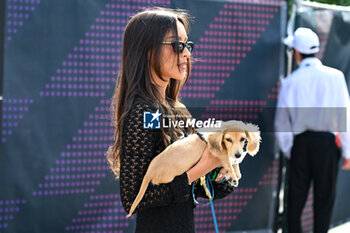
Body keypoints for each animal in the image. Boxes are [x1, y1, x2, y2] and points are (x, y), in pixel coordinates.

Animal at [128, 120, 260, 217]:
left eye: (243, 139)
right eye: (228, 139)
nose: (238, 155)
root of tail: (150, 170)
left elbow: (233, 164)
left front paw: (234, 173)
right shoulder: (216, 151)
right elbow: (227, 158)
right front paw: (233, 174)